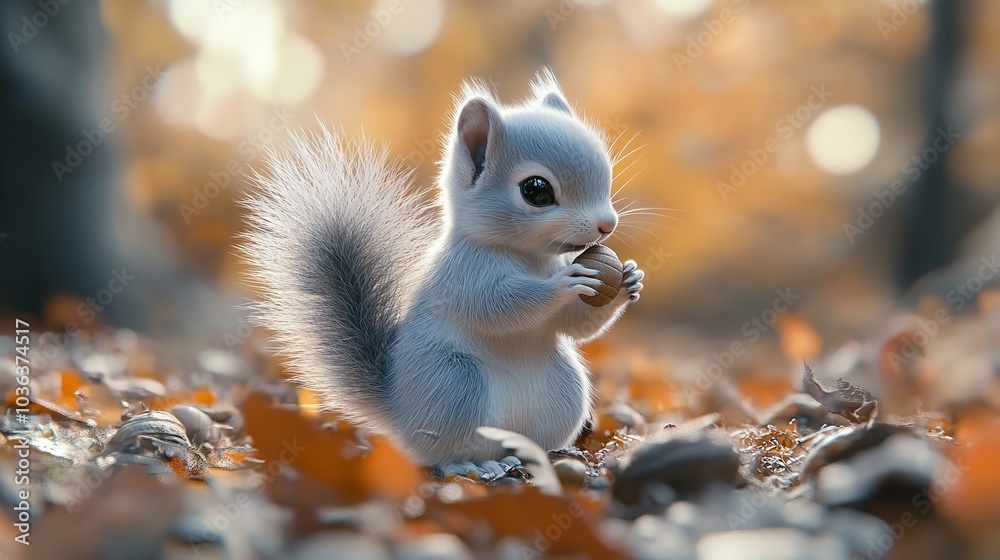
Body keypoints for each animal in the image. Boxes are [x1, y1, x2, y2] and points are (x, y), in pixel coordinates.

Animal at [241, 69, 645, 472]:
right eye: (536, 190)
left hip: (564, 390)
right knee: (443, 453)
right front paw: (563, 284)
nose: (607, 225)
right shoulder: (463, 274)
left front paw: (629, 279)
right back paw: (467, 466)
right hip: (456, 383)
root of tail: (401, 416)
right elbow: (496, 307)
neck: (529, 257)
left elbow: (574, 325)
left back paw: (541, 454)